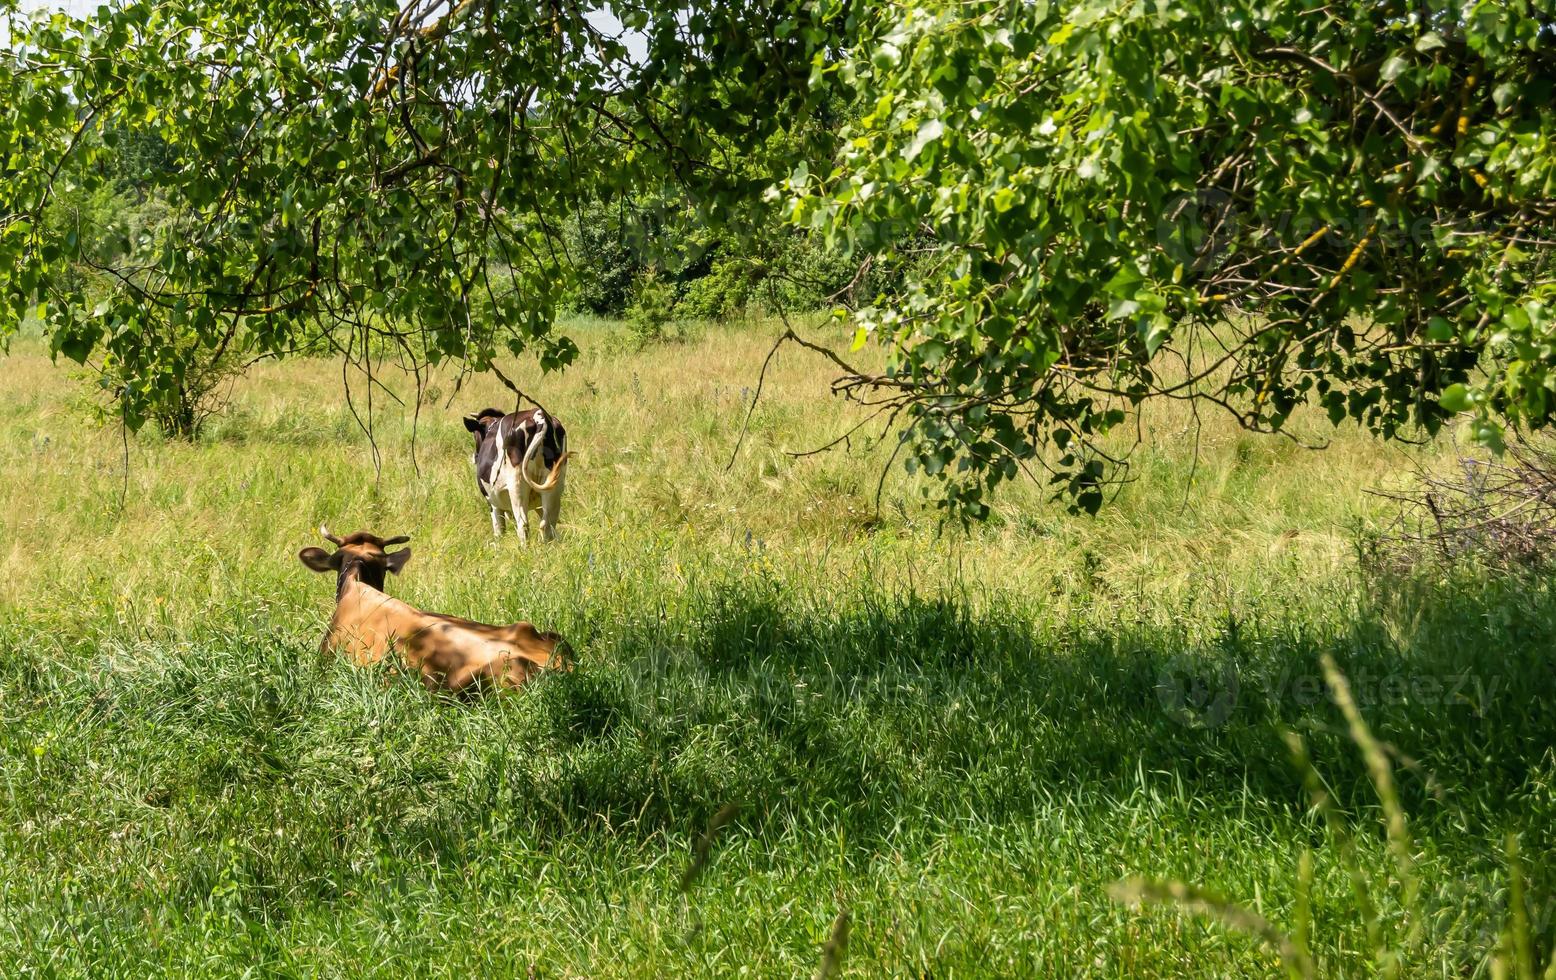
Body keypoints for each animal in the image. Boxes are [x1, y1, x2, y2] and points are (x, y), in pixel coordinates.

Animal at [460, 407, 572, 544]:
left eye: (475, 436)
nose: (474, 456)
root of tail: (538, 415)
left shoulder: (493, 503)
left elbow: (499, 531)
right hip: (553, 486)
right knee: (547, 524)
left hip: (516, 485)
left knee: (523, 524)